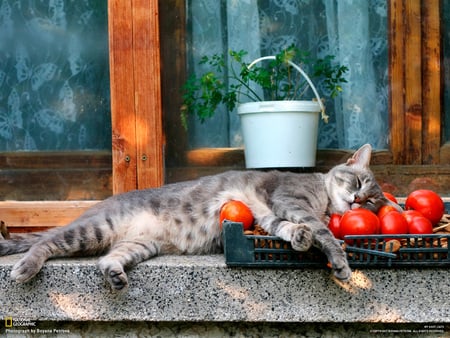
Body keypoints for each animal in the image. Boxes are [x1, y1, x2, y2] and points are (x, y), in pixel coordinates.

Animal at [0, 144, 398, 290]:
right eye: (358, 182)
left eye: (372, 202)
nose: (359, 201)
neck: (323, 200)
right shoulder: (288, 199)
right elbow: (323, 233)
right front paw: (339, 261)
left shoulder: (267, 215)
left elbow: (286, 229)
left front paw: (300, 238)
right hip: (93, 229)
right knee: (46, 243)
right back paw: (25, 268)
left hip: (139, 245)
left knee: (107, 259)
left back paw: (114, 275)